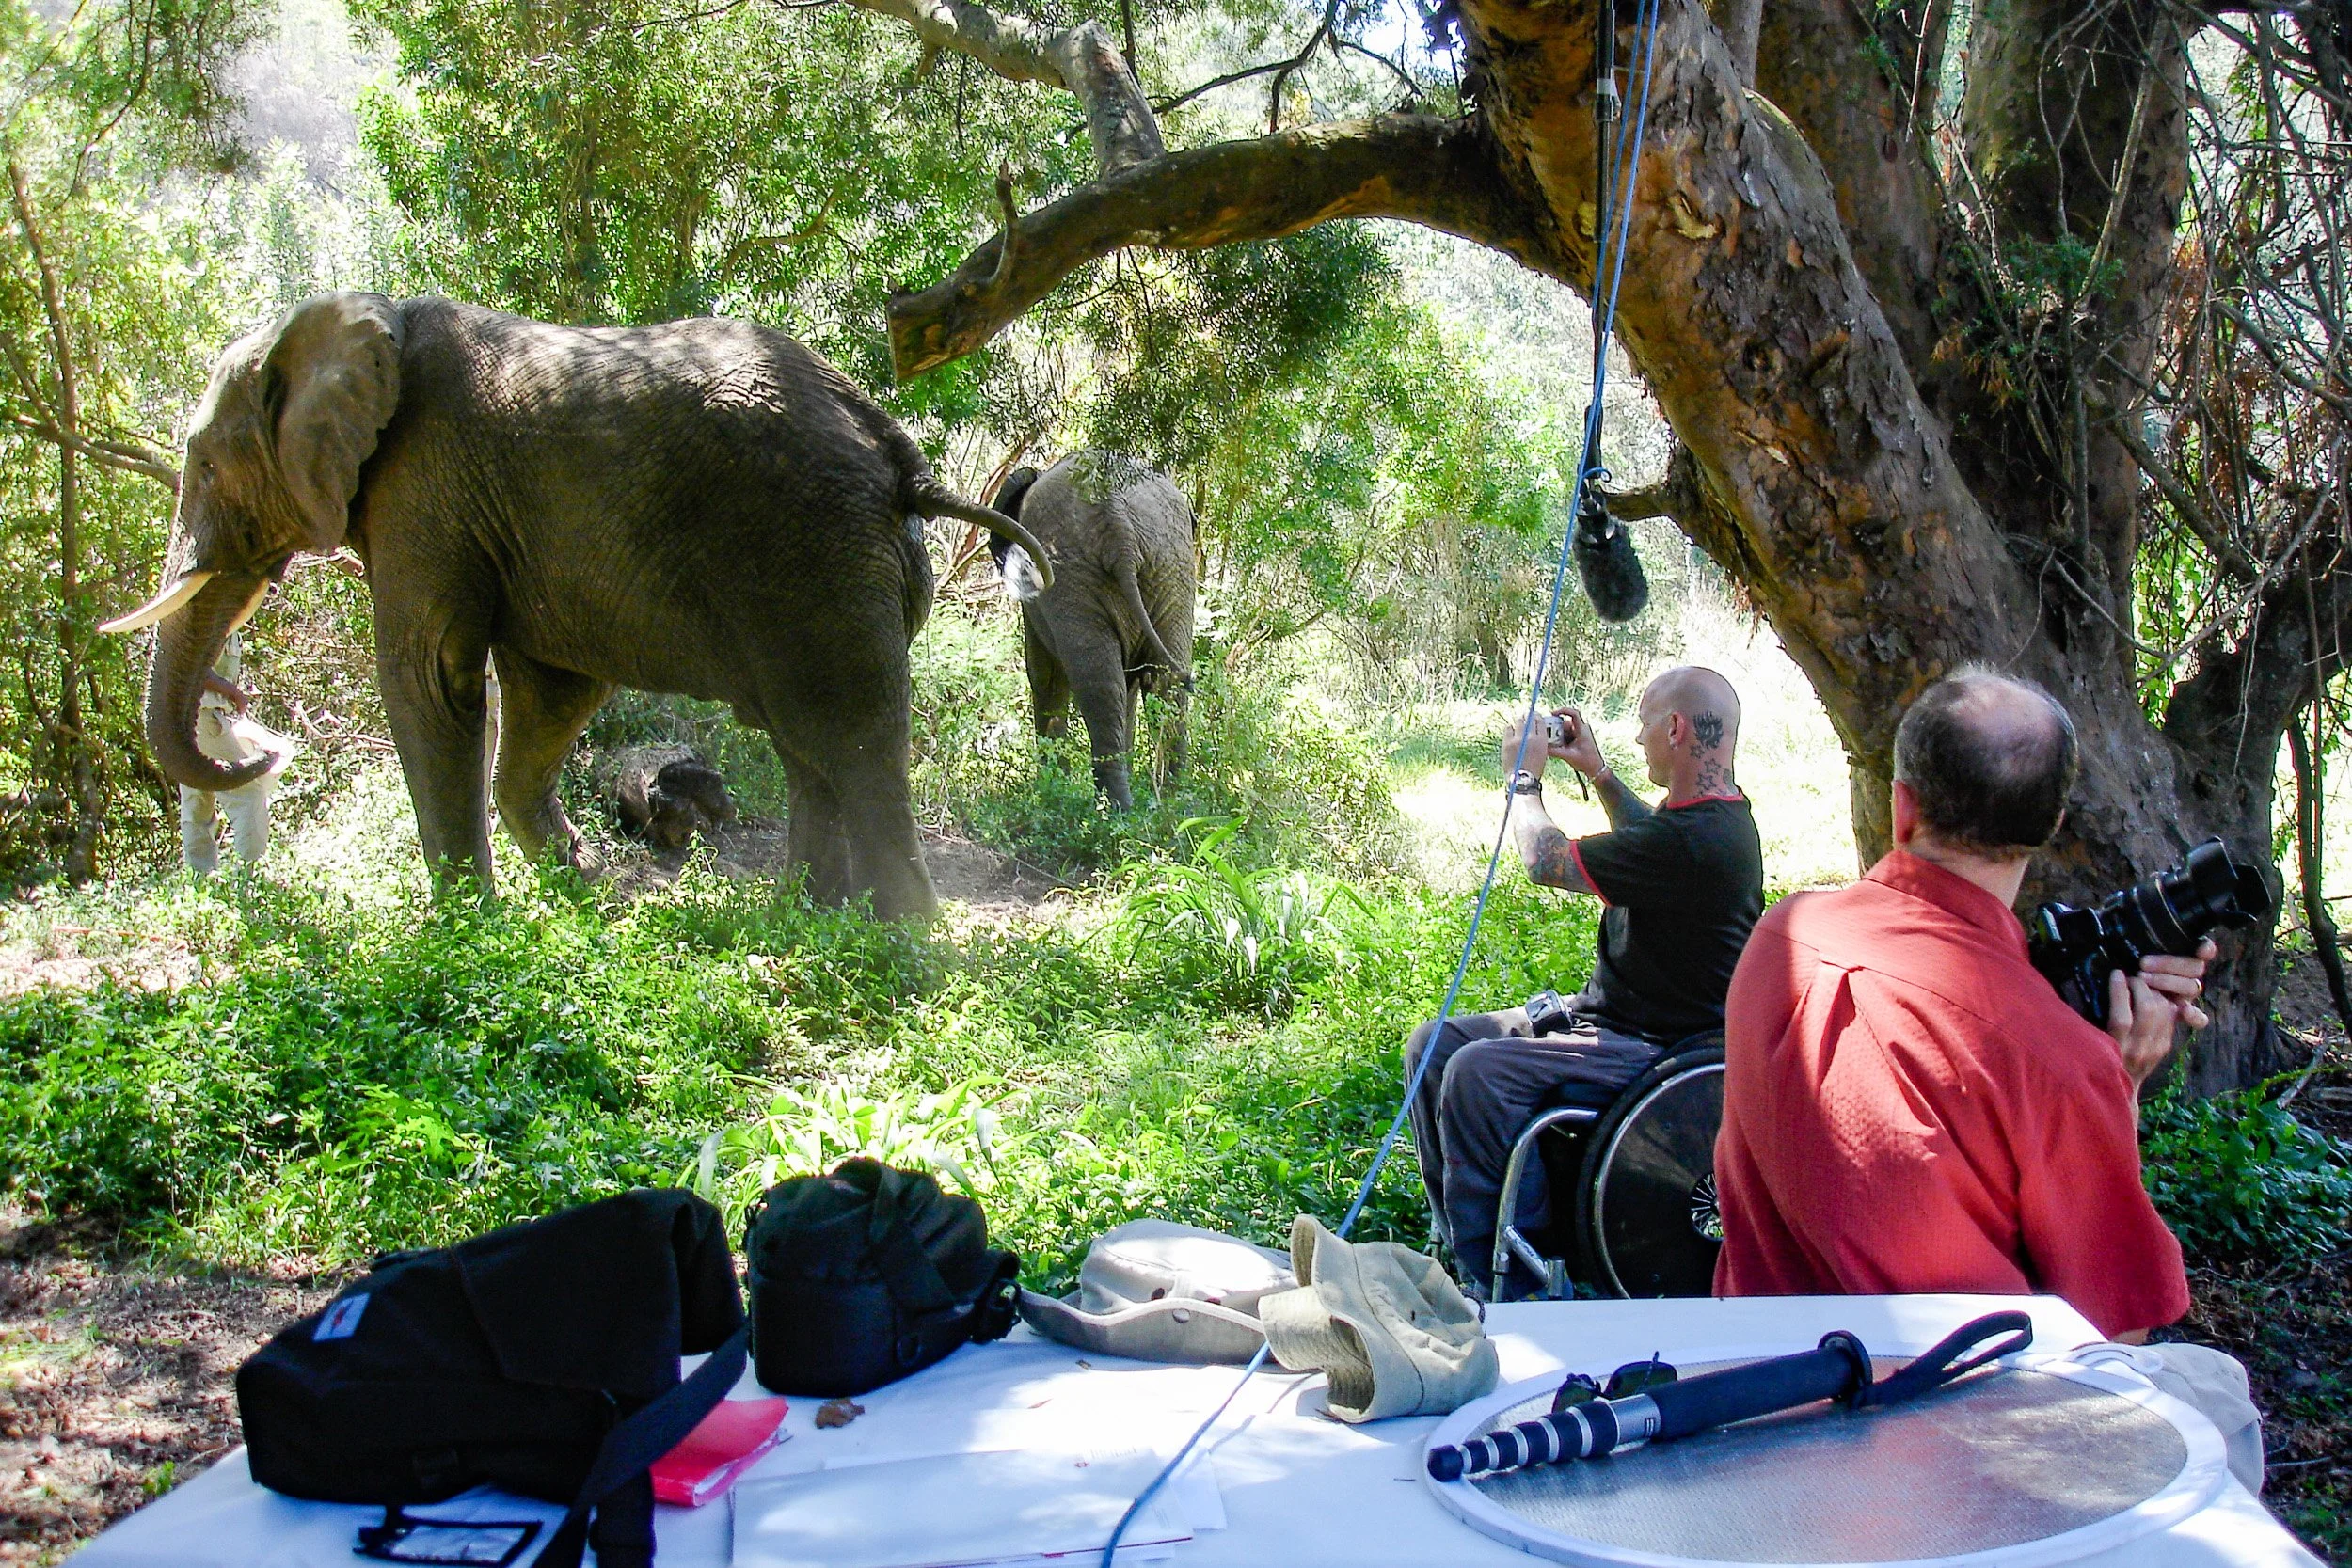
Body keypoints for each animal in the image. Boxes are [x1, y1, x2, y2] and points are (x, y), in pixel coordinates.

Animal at [102, 292, 1052, 921]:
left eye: (205, 466)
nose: (261, 747)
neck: (348, 322)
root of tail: (897, 452)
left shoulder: (421, 490)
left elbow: (430, 676)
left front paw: (464, 932)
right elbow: (552, 692)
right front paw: (576, 889)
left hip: (813, 552)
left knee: (849, 737)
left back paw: (908, 951)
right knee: (805, 741)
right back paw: (808, 920)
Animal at [990, 451, 1194, 810]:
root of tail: (1118, 524)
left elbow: (1044, 676)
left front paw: (1049, 788)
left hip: (1071, 573)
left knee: (1098, 687)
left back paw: (1114, 812)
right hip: (1169, 566)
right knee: (1165, 683)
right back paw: (1172, 804)